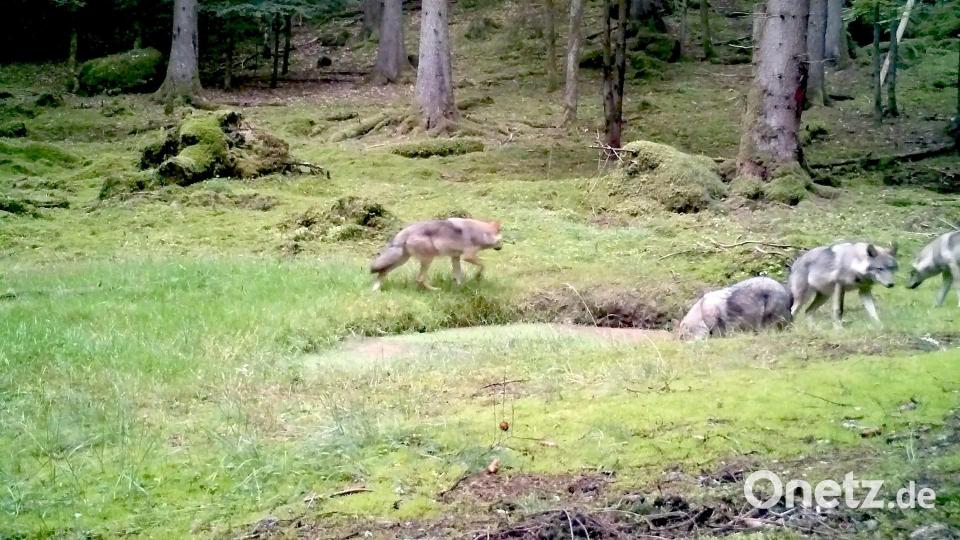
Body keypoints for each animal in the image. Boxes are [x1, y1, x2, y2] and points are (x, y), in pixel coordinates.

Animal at [370, 218, 503, 291]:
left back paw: (375, 290)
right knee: (419, 279)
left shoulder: (455, 257)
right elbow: (483, 265)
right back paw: (435, 290)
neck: (481, 233)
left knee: (383, 272)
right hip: (428, 259)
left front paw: (459, 288)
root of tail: (404, 231)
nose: (501, 248)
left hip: (402, 261)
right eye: (502, 240)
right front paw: (478, 276)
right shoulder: (467, 256)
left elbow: (458, 276)